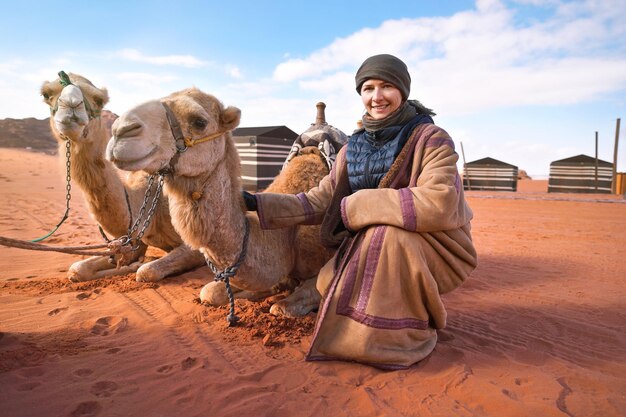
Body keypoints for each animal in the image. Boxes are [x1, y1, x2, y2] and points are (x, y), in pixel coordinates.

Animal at [39, 72, 205, 282]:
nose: (71, 106)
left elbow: (147, 271)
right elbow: (77, 269)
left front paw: (136, 265)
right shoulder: (134, 240)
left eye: (99, 100)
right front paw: (129, 262)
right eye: (47, 94)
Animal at [104, 88, 344, 316]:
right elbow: (209, 292)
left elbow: (285, 305)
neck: (286, 239)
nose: (120, 130)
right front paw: (261, 291)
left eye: (199, 122)